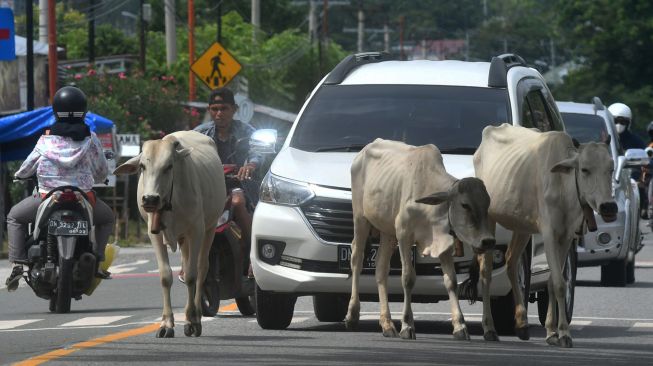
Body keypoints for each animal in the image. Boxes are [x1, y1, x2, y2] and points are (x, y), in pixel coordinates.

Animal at [112, 131, 224, 338]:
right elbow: (165, 276)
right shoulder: (154, 234)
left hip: (210, 228)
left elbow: (192, 276)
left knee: (201, 268)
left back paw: (196, 314)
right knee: (186, 266)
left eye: (169, 166)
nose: (149, 199)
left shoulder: (196, 230)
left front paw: (192, 321)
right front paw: (166, 324)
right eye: (142, 166)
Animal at [346, 139, 494, 340]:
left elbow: (451, 281)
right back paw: (352, 315)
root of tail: (362, 152)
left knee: (381, 268)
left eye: (487, 204)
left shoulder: (443, 242)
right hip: (361, 219)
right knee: (357, 259)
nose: (488, 241)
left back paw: (387, 324)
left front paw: (460, 325)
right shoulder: (404, 235)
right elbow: (408, 278)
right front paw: (407, 325)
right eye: (465, 205)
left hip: (387, 232)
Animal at [468, 123, 616, 348]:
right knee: (486, 274)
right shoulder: (549, 234)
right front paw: (564, 334)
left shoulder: (566, 237)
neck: (563, 186)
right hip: (490, 221)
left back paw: (521, 324)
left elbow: (552, 283)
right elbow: (560, 284)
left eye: (611, 168)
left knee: (511, 264)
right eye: (585, 169)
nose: (608, 206)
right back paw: (489, 329)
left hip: (521, 226)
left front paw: (552, 332)